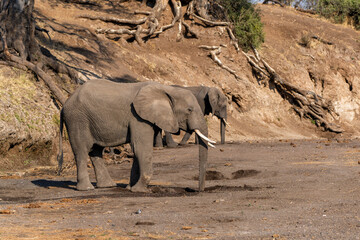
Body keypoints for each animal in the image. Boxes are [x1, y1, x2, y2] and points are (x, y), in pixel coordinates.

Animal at [56, 79, 214, 192]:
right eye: (189, 110)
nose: (198, 190)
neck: (165, 89)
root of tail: (64, 105)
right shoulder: (138, 117)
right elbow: (141, 148)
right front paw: (140, 190)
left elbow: (137, 149)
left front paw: (130, 188)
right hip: (77, 120)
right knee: (81, 151)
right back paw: (87, 189)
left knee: (95, 151)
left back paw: (108, 186)